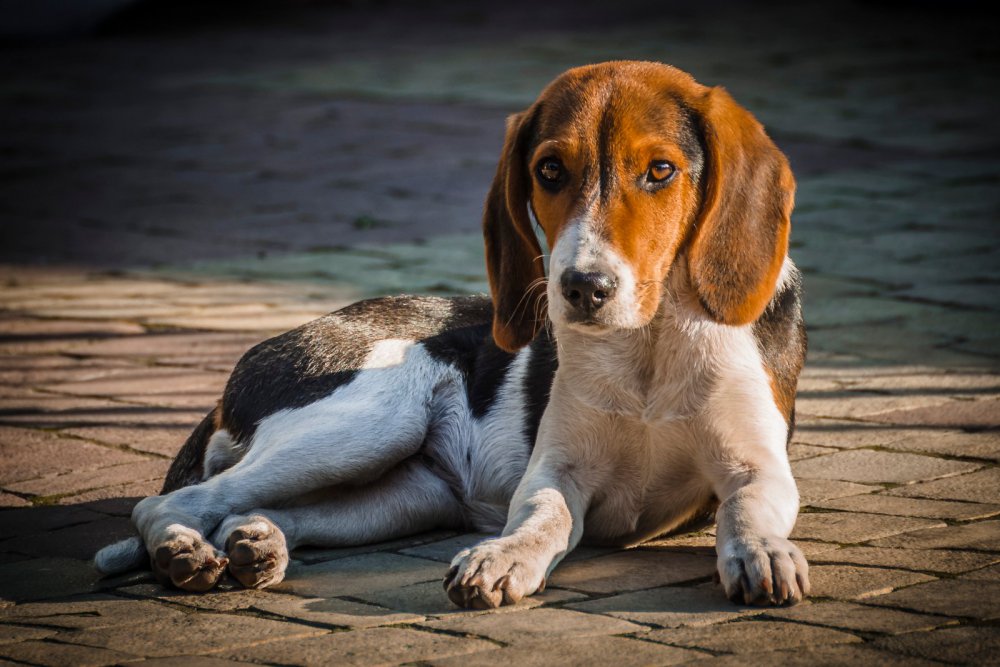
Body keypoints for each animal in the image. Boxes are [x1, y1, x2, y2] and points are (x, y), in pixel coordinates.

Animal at [95, 62, 812, 612]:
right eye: (550, 171)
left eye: (661, 171)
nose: (582, 286)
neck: (650, 344)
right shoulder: (555, 470)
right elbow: (544, 514)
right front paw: (504, 556)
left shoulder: (758, 466)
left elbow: (746, 509)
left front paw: (761, 551)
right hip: (372, 418)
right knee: (171, 502)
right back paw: (183, 549)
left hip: (398, 498)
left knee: (257, 510)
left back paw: (256, 545)